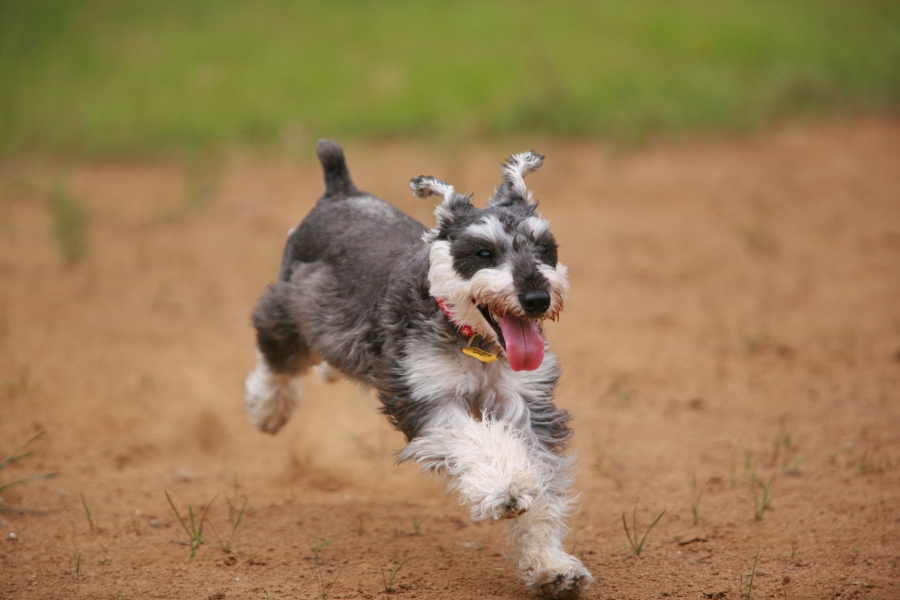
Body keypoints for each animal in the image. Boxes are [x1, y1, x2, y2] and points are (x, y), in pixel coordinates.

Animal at [246, 142, 596, 600]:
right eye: (484, 252)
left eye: (545, 249)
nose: (537, 298)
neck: (471, 338)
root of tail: (341, 191)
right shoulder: (429, 398)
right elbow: (476, 441)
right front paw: (504, 488)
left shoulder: (527, 403)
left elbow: (545, 487)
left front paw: (551, 565)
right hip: (293, 308)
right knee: (275, 351)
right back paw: (268, 408)